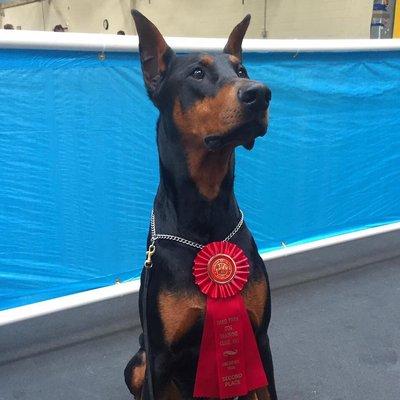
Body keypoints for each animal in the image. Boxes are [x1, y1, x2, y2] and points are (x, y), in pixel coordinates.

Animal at [123, 10, 276, 400]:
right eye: (196, 73)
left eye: (242, 69)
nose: (260, 93)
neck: (205, 220)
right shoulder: (159, 359)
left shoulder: (260, 337)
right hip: (138, 362)